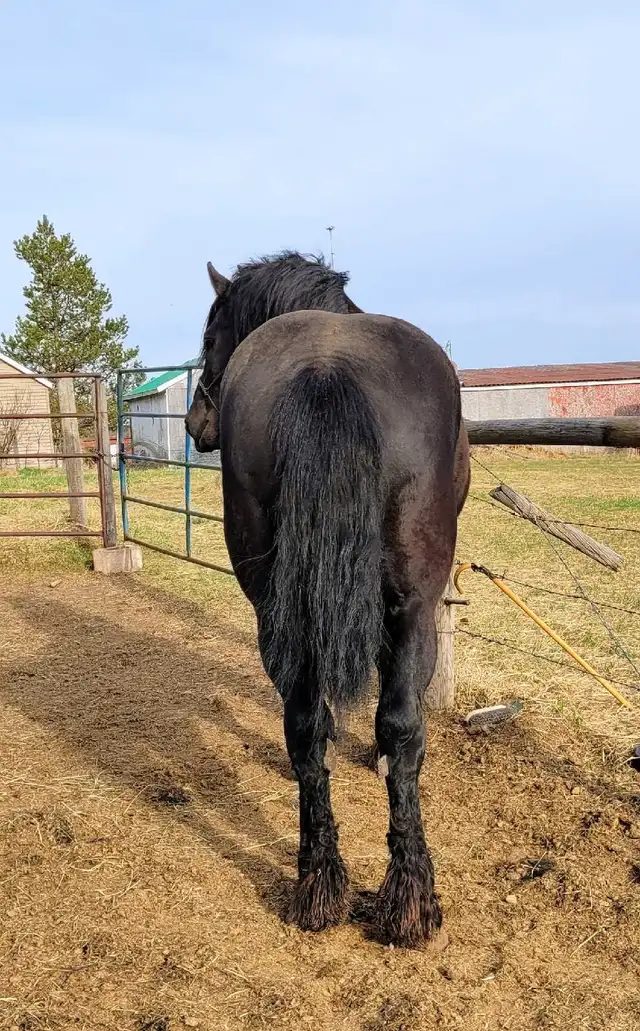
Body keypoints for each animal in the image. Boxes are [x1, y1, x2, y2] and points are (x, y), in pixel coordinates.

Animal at [185, 251, 470, 947]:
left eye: (210, 338)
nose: (195, 423)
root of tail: (326, 371)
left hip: (276, 607)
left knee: (306, 722)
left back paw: (321, 885)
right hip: (414, 605)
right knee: (399, 724)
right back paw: (406, 898)